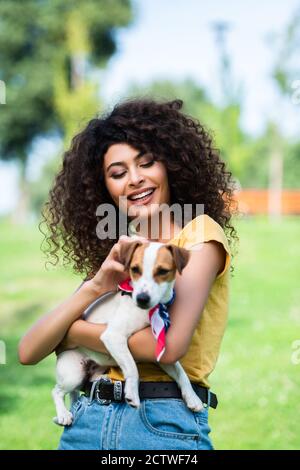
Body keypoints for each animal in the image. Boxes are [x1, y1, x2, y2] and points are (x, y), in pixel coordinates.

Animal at [52, 239, 204, 426]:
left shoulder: (161, 353)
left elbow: (181, 373)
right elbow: (132, 367)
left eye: (162, 271)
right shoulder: (113, 336)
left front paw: (192, 398)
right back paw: (63, 414)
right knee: (56, 391)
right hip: (73, 374)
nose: (142, 298)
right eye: (135, 269)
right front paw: (132, 393)